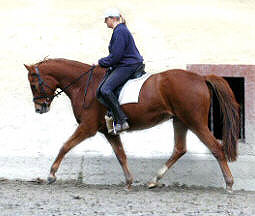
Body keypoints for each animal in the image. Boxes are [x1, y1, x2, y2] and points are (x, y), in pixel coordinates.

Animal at [25, 58, 239, 192]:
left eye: (34, 85)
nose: (39, 108)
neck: (84, 84)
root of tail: (200, 78)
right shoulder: (109, 131)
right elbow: (121, 155)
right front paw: (129, 182)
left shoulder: (88, 127)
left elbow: (65, 146)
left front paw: (51, 175)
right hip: (180, 121)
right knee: (179, 149)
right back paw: (154, 180)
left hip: (194, 121)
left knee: (216, 148)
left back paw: (229, 184)